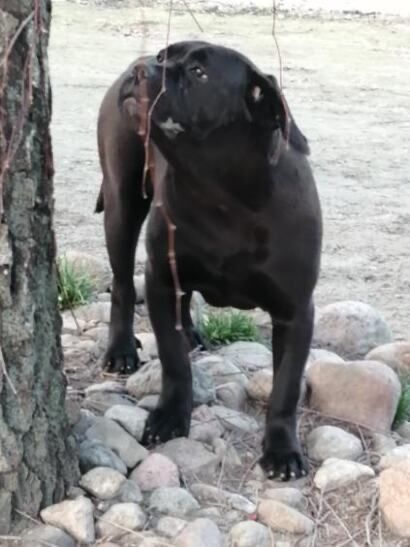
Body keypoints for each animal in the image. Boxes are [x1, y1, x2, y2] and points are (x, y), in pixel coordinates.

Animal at [95, 41, 320, 480]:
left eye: (199, 73)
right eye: (163, 57)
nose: (140, 69)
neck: (219, 193)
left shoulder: (296, 312)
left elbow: (286, 387)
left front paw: (282, 450)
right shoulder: (160, 279)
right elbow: (173, 363)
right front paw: (170, 416)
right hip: (122, 204)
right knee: (123, 285)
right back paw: (121, 349)